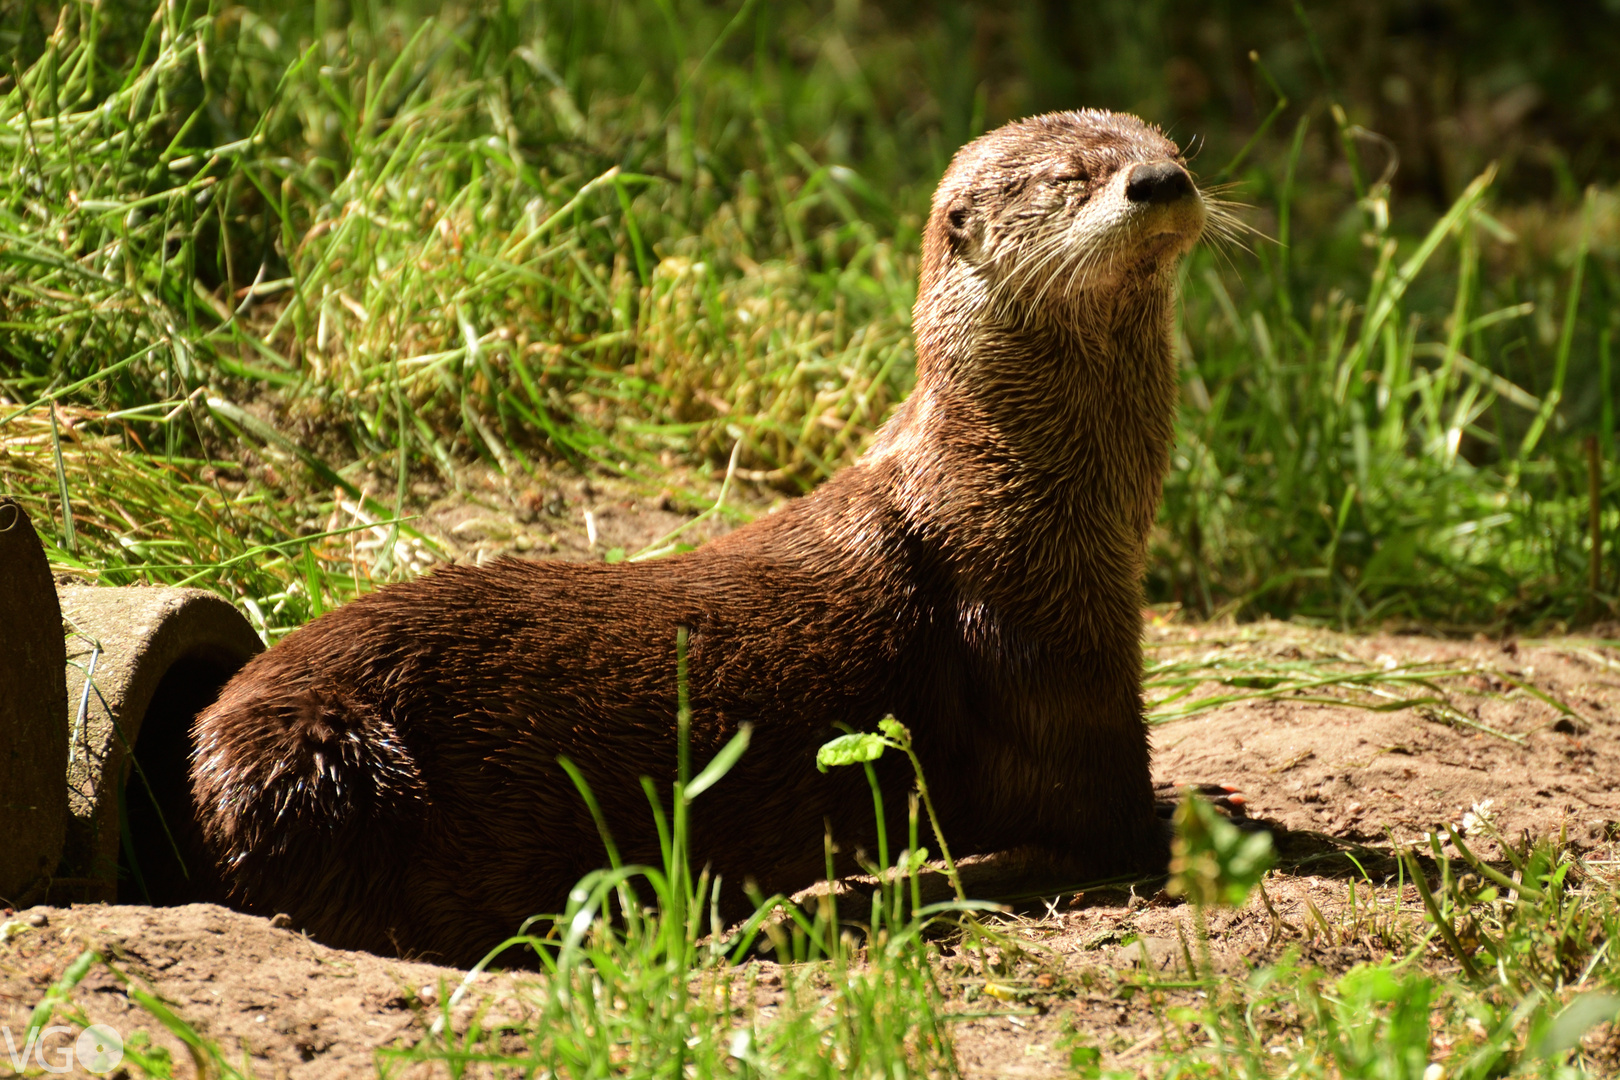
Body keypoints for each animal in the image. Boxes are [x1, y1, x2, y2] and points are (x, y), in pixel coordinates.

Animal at [189, 110, 1211, 965]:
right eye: (1071, 176)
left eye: (1171, 146)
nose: (1159, 180)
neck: (1006, 485)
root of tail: (215, 745)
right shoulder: (1046, 642)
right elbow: (1098, 811)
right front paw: (1193, 817)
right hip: (333, 756)